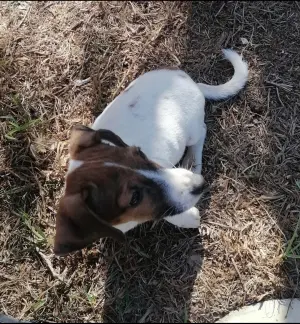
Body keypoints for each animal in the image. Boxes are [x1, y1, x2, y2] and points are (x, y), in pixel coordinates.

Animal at [53, 48, 246, 256]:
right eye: (134, 198)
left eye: (139, 153)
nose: (200, 184)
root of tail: (191, 82)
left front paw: (188, 217)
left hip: (192, 130)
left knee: (201, 132)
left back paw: (192, 160)